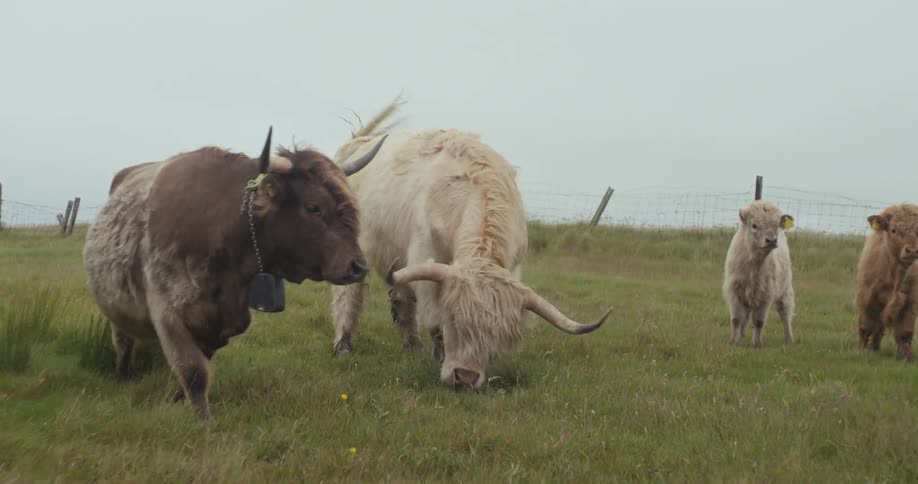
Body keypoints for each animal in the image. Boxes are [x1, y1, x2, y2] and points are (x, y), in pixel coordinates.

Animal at [83, 128, 386, 419]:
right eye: (314, 207)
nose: (358, 266)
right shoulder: (167, 313)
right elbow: (194, 372)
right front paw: (203, 421)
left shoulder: (221, 323)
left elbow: (199, 367)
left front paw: (179, 399)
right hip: (118, 307)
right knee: (123, 341)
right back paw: (125, 376)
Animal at [328, 106, 611, 389]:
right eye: (454, 320)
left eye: (498, 335)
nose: (465, 378)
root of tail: (358, 143)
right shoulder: (426, 258)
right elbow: (433, 316)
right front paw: (439, 354)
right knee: (349, 295)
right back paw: (343, 345)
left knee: (402, 299)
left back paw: (413, 345)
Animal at [723, 200, 796, 348]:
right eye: (754, 225)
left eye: (777, 225)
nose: (771, 240)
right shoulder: (734, 291)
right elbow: (736, 319)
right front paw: (734, 342)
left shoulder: (766, 294)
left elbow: (758, 322)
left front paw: (756, 345)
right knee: (745, 316)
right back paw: (741, 337)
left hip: (785, 289)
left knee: (785, 312)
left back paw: (788, 339)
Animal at [855, 203, 918, 360]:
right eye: (893, 230)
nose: (912, 251)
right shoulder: (867, 297)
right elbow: (865, 327)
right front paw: (861, 351)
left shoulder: (910, 302)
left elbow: (905, 332)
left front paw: (905, 357)